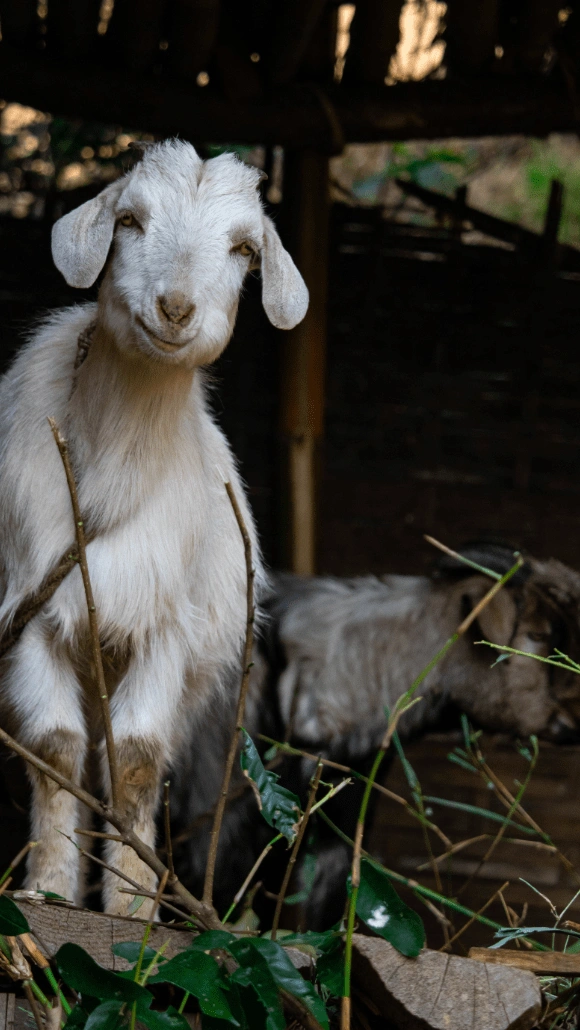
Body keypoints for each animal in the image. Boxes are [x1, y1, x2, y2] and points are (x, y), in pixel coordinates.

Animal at [0, 139, 308, 913]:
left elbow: (136, 759)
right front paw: (49, 889)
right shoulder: (32, 611)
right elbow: (55, 747)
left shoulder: (164, 623)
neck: (111, 465)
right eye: (131, 220)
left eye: (243, 248)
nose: (175, 307)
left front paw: (132, 904)